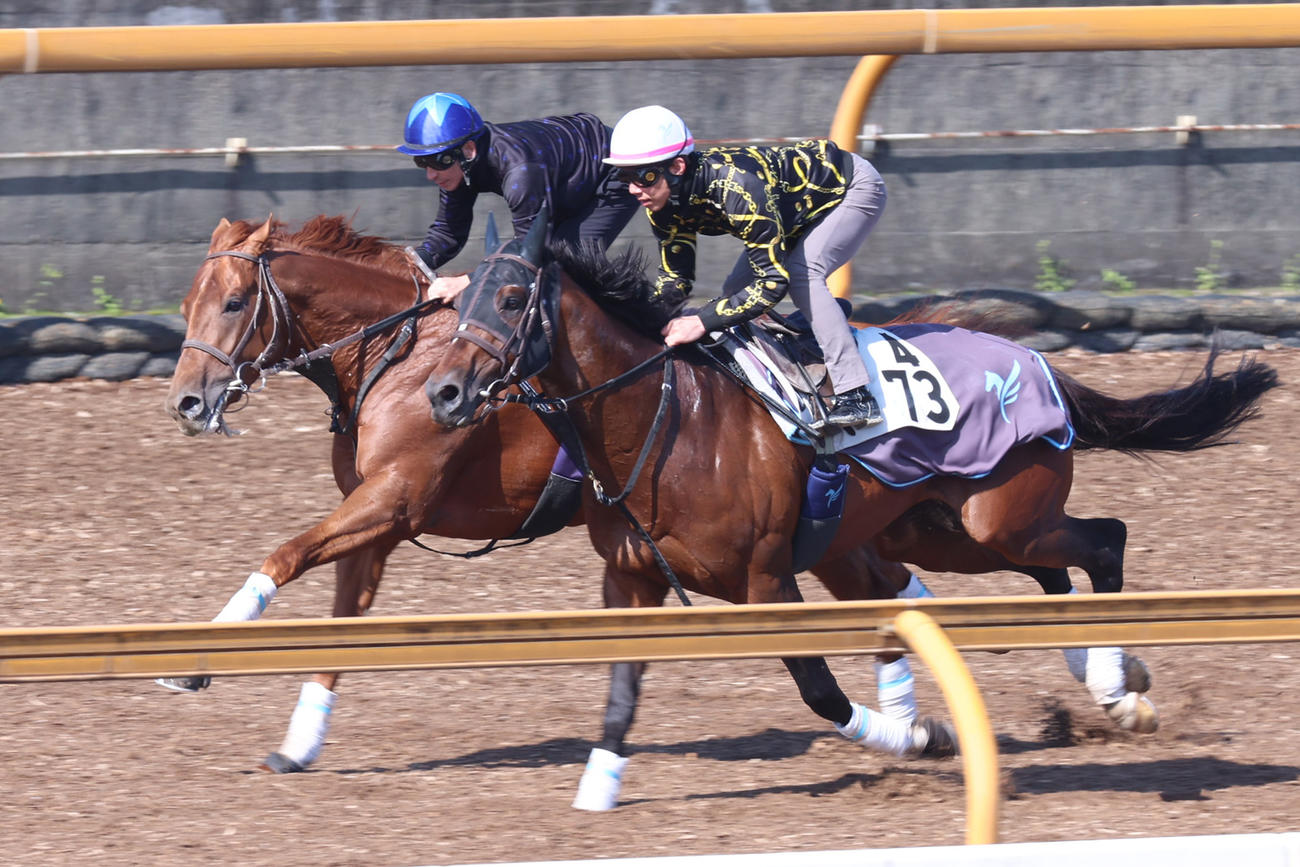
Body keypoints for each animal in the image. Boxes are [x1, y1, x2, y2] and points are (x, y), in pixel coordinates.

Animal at [161, 214, 939, 777]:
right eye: (186, 304)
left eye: (234, 302)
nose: (187, 403)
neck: (398, 355)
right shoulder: (378, 518)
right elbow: (340, 625)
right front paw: (298, 742)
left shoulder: (393, 498)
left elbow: (285, 553)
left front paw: (196, 663)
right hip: (826, 530)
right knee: (881, 582)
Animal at [422, 212, 1279, 809]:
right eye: (459, 300)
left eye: (510, 297)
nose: (445, 393)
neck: (672, 423)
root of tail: (1037, 361)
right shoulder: (630, 579)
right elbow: (620, 690)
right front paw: (597, 785)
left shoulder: (766, 582)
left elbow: (820, 690)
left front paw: (922, 733)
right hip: (941, 529)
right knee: (1051, 576)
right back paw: (1113, 674)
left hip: (998, 514)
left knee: (1104, 542)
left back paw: (1118, 688)